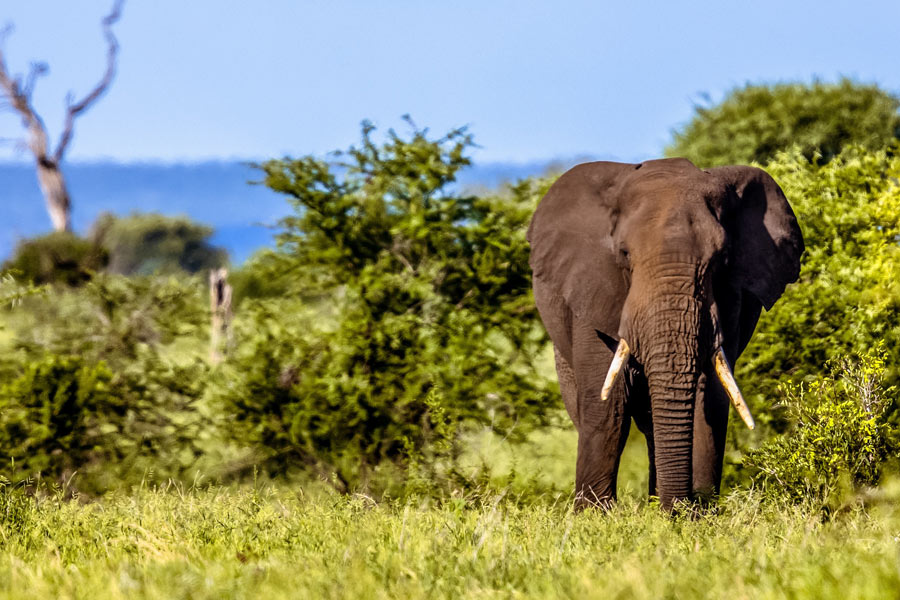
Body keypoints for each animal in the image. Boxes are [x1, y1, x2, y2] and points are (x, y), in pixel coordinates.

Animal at [526, 158, 803, 510]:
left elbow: (708, 395)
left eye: (721, 259)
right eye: (624, 254)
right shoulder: (592, 290)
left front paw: (695, 513)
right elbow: (609, 404)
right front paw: (595, 515)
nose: (679, 508)